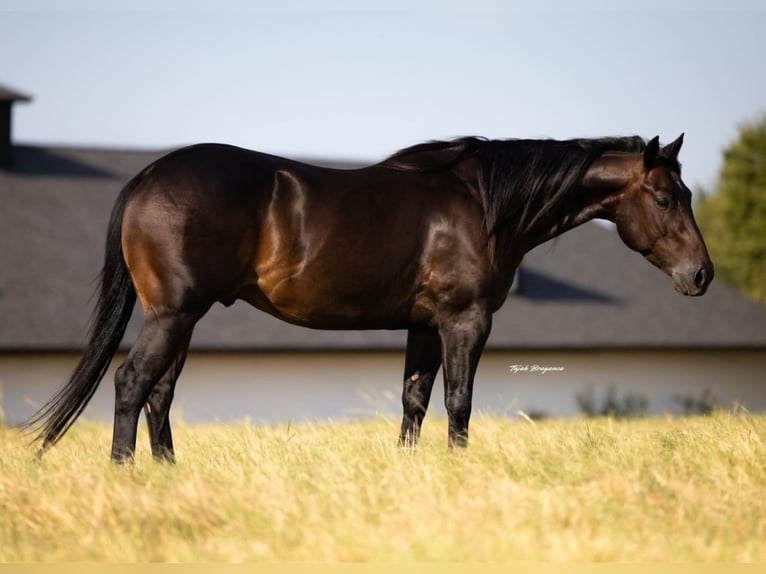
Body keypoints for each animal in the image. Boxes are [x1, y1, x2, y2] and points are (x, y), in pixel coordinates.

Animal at [25, 133, 713, 462]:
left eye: (687, 195)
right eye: (664, 198)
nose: (701, 275)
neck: (481, 205)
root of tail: (146, 177)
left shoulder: (424, 326)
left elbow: (414, 401)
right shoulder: (465, 322)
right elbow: (459, 403)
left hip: (181, 318)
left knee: (160, 392)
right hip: (173, 313)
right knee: (133, 382)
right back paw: (125, 472)